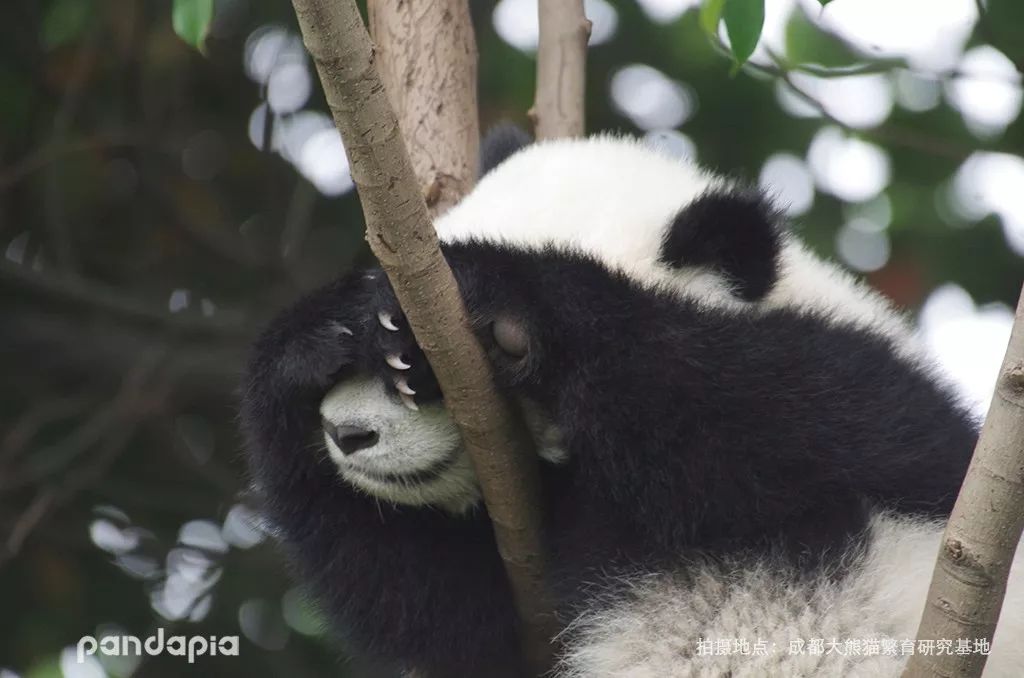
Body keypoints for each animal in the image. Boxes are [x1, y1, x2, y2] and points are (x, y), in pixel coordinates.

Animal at [241, 134, 1024, 678]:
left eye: (418, 372)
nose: (347, 434)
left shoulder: (868, 403)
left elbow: (728, 417)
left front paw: (504, 302)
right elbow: (441, 607)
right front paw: (307, 345)